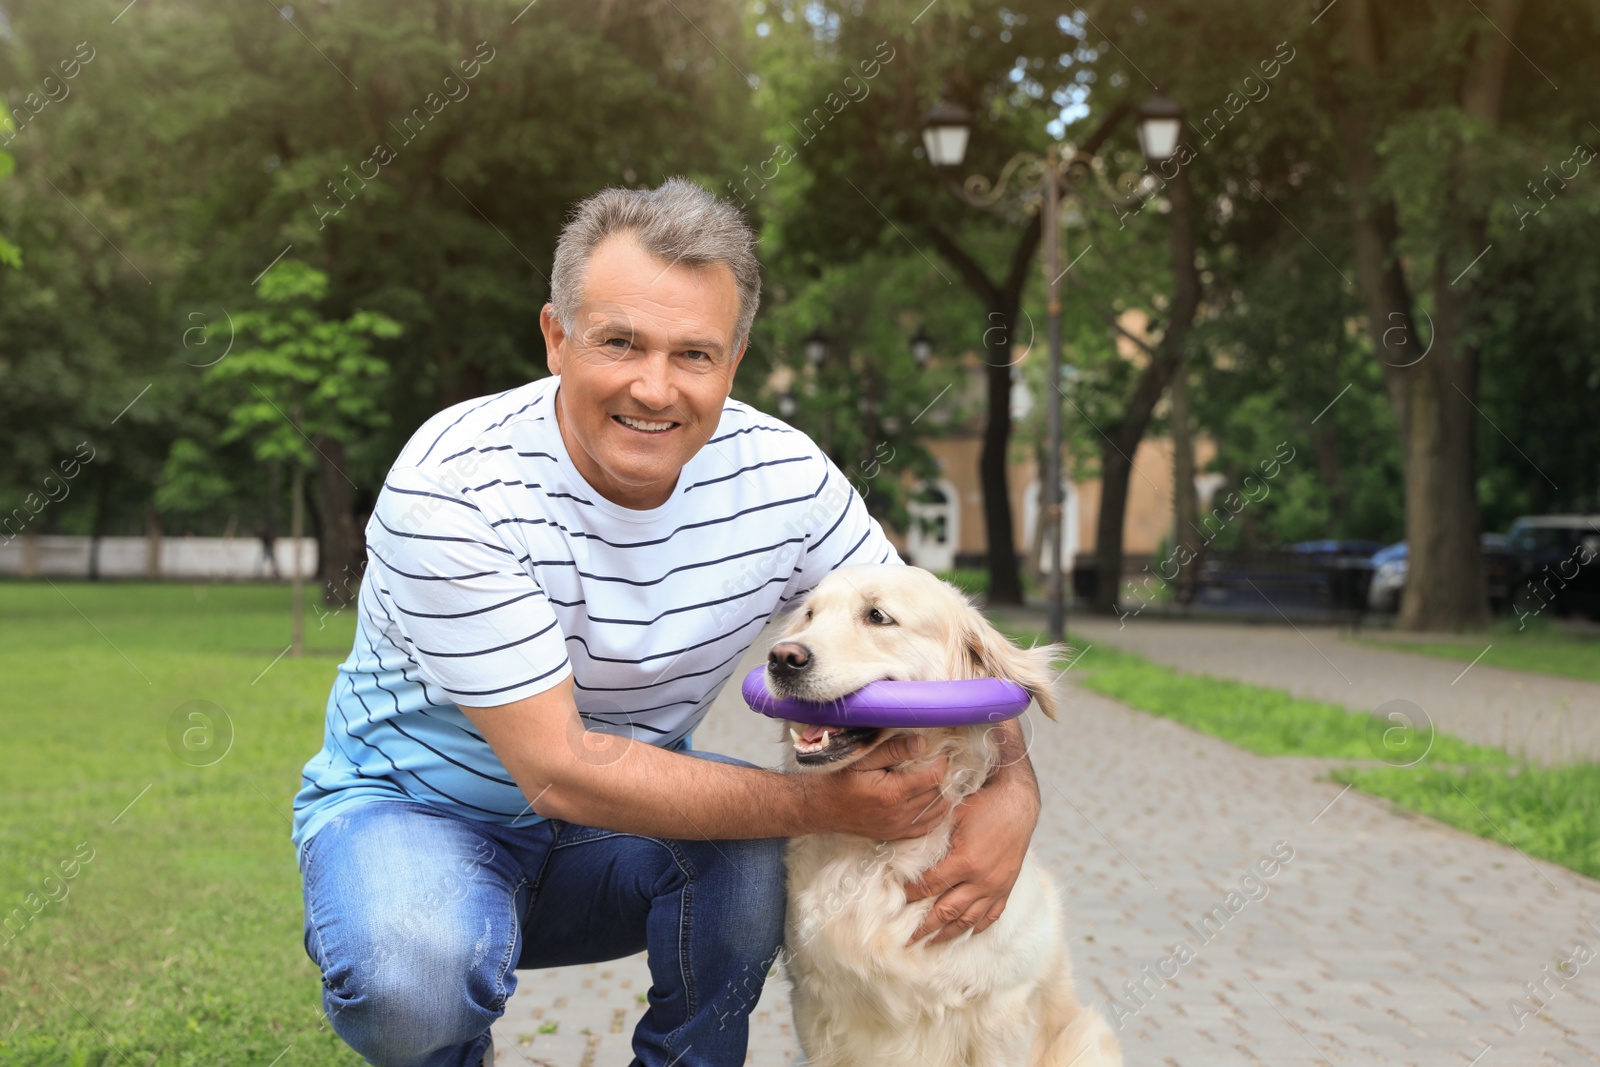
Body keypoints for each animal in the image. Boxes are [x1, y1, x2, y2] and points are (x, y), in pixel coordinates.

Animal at [764, 563, 1126, 1062]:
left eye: (877, 616)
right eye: (808, 616)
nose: (781, 658)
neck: (881, 853)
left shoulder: (1001, 1011)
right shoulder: (813, 1006)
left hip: (1087, 1037)